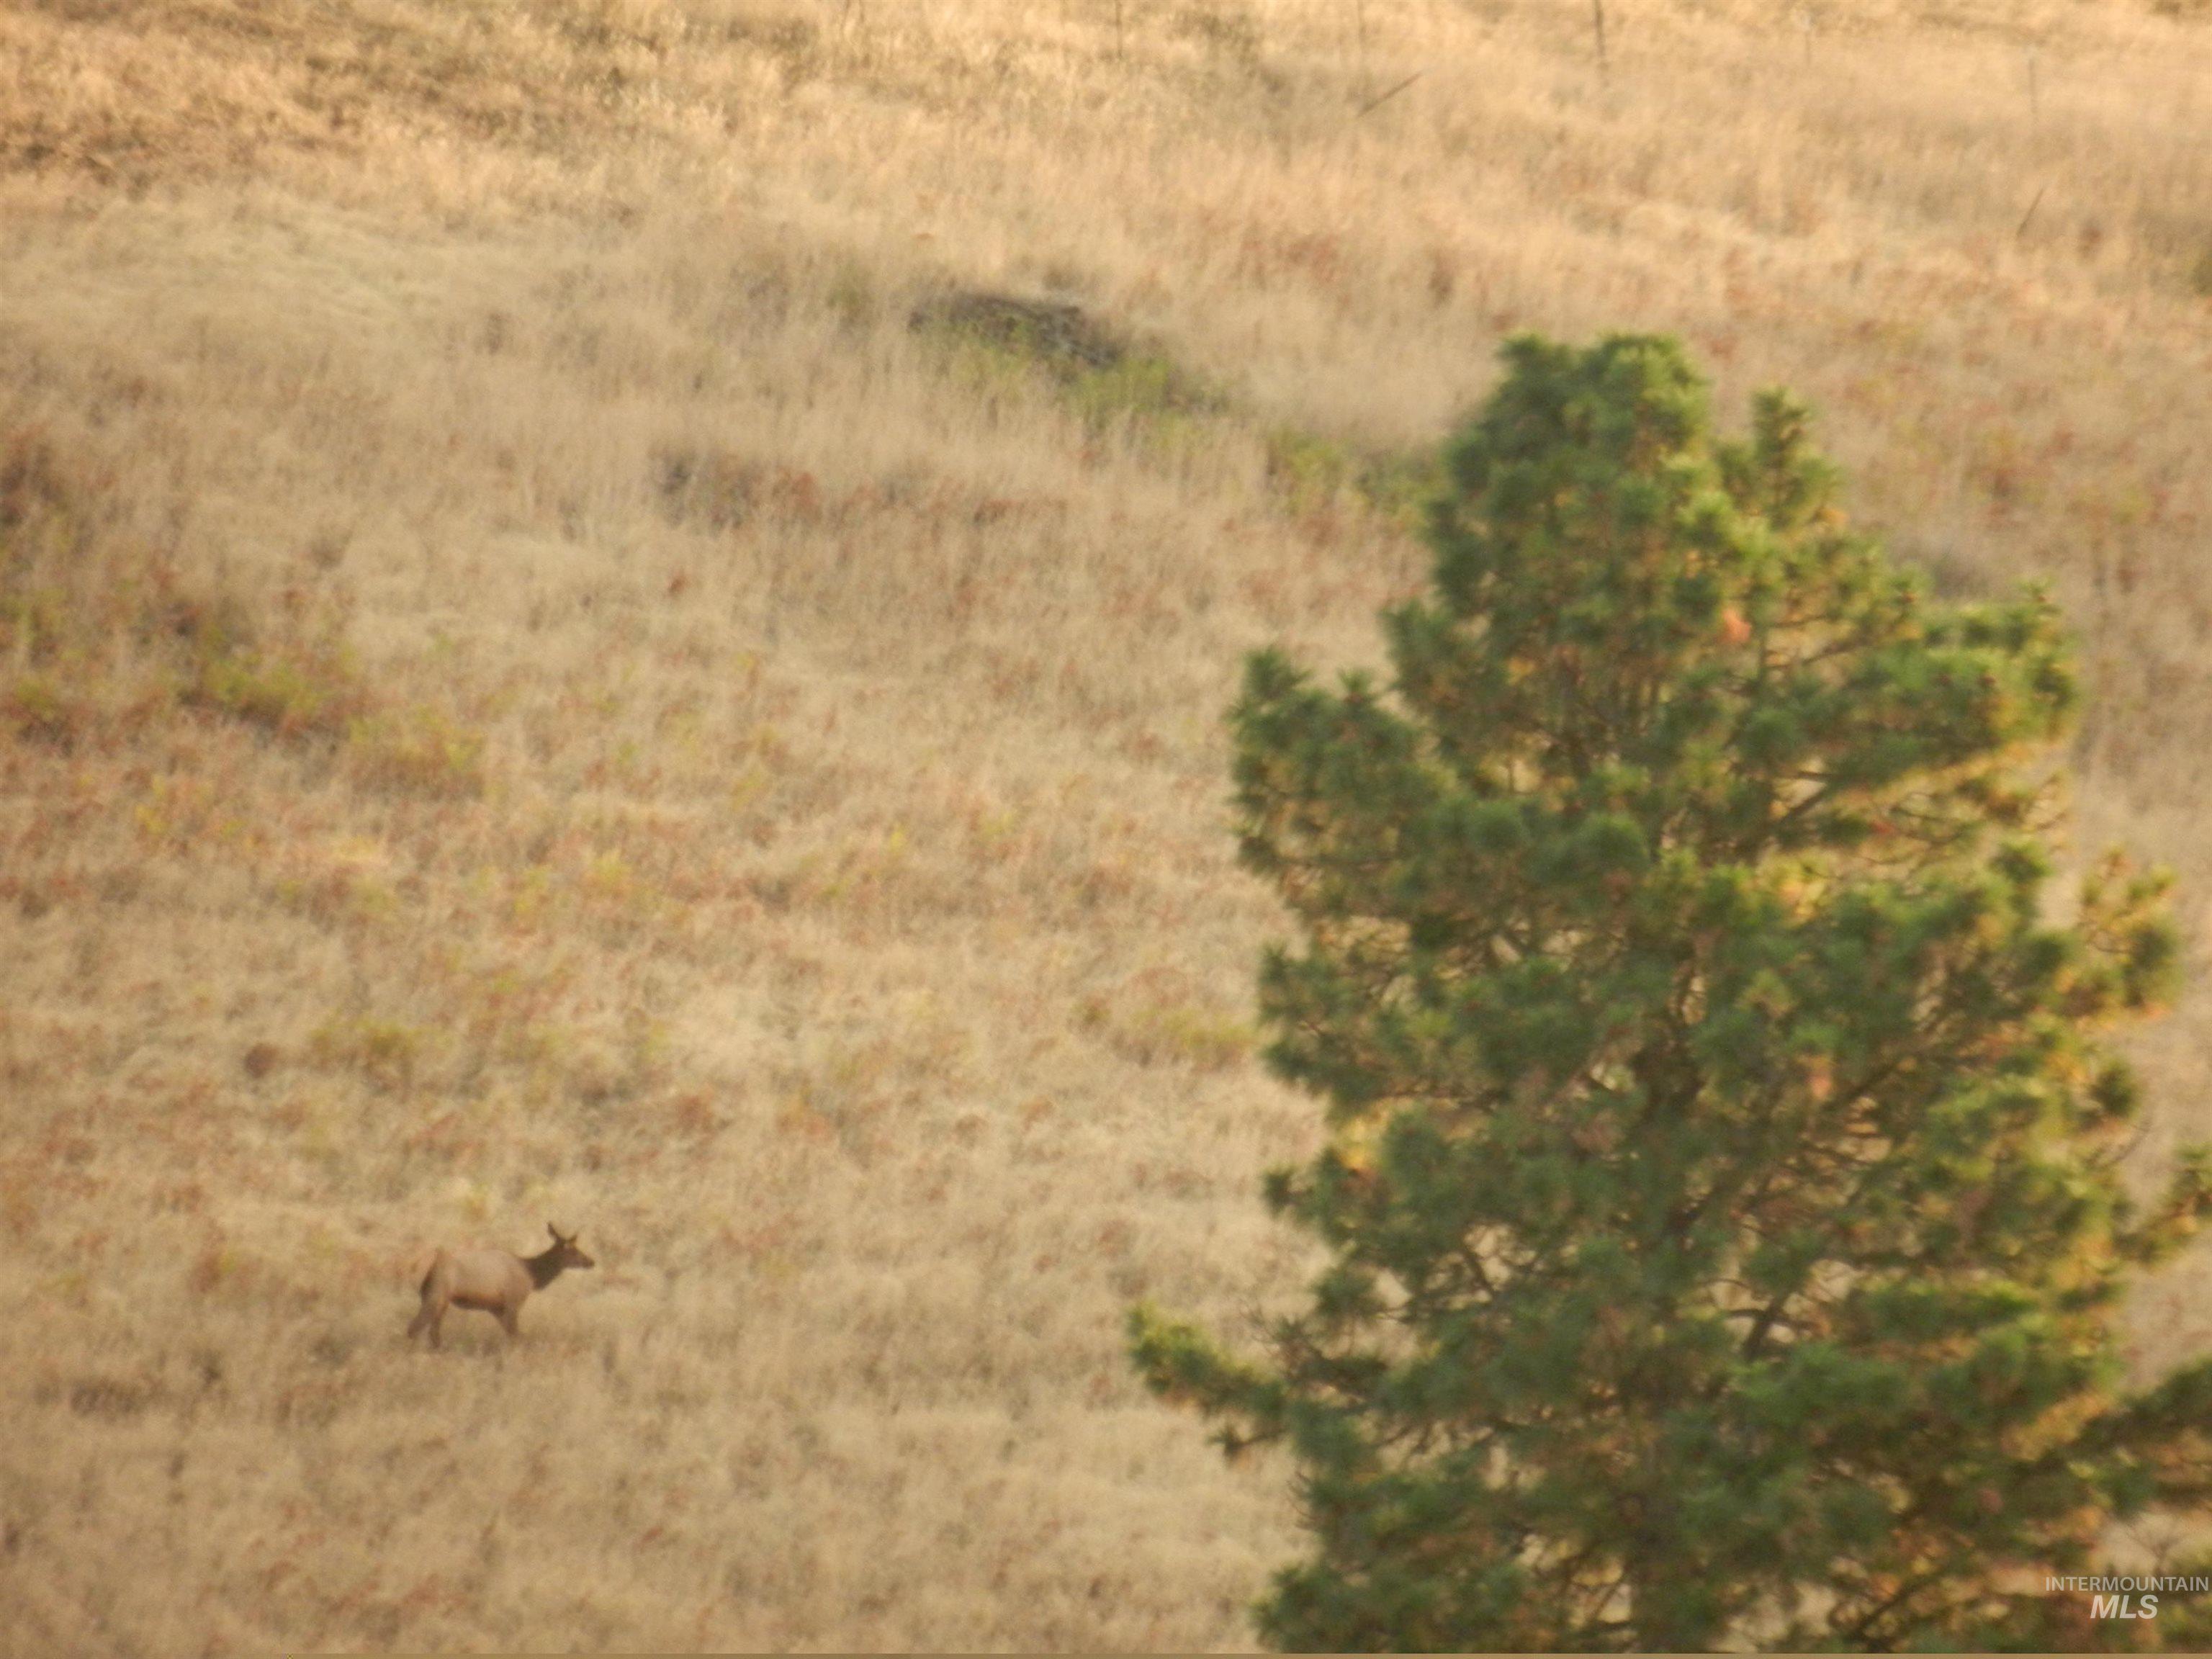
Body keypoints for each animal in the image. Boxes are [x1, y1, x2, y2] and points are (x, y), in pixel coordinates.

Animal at [409, 1220, 597, 1354]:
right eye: (573, 1251)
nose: (591, 1261)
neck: (533, 1277)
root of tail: (432, 1265)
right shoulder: (513, 1301)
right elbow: (516, 1335)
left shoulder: (496, 1307)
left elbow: (514, 1335)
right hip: (435, 1294)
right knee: (414, 1328)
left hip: (441, 1300)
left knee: (433, 1332)